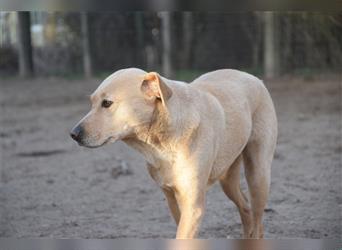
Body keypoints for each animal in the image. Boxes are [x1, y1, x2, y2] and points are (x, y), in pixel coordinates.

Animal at [70, 68, 278, 238]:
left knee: (257, 221)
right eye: (92, 103)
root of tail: (253, 77)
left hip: (258, 175)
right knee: (246, 208)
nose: (73, 134)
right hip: (227, 179)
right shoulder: (171, 198)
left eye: (107, 103)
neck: (162, 145)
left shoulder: (193, 205)